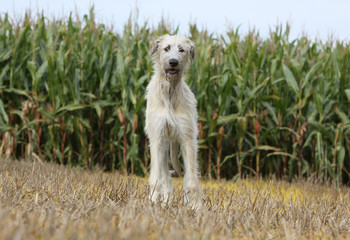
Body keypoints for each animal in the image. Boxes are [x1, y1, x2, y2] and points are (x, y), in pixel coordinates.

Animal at [144, 34, 201, 206]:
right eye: (166, 48)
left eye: (181, 49)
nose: (173, 62)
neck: (170, 91)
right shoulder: (157, 138)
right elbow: (157, 178)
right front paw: (152, 203)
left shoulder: (188, 138)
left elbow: (191, 180)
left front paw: (196, 207)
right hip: (164, 145)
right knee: (165, 177)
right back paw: (166, 202)